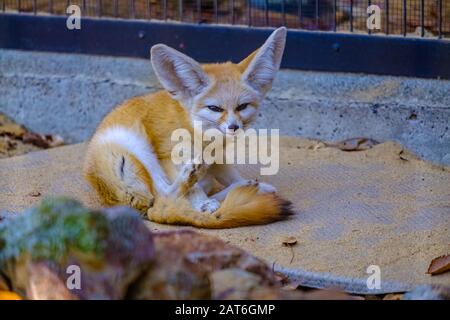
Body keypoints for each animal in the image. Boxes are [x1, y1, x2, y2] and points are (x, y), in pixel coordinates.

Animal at [84, 26, 294, 228]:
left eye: (242, 106)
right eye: (215, 108)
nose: (234, 127)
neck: (197, 131)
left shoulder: (216, 156)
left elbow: (231, 176)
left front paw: (243, 186)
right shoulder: (169, 155)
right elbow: (193, 190)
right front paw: (203, 201)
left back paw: (246, 188)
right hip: (136, 146)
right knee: (166, 195)